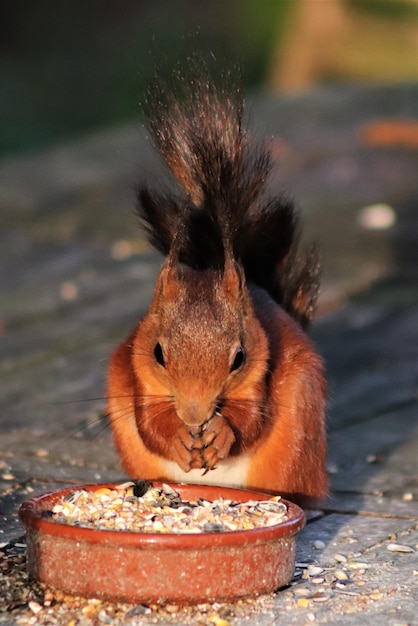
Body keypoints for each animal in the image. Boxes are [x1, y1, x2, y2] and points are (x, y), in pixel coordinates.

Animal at [106, 63, 328, 504]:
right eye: (158, 353)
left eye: (239, 357)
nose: (194, 416)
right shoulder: (137, 371)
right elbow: (149, 422)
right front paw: (177, 436)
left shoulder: (263, 363)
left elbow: (252, 419)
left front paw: (224, 430)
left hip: (295, 444)